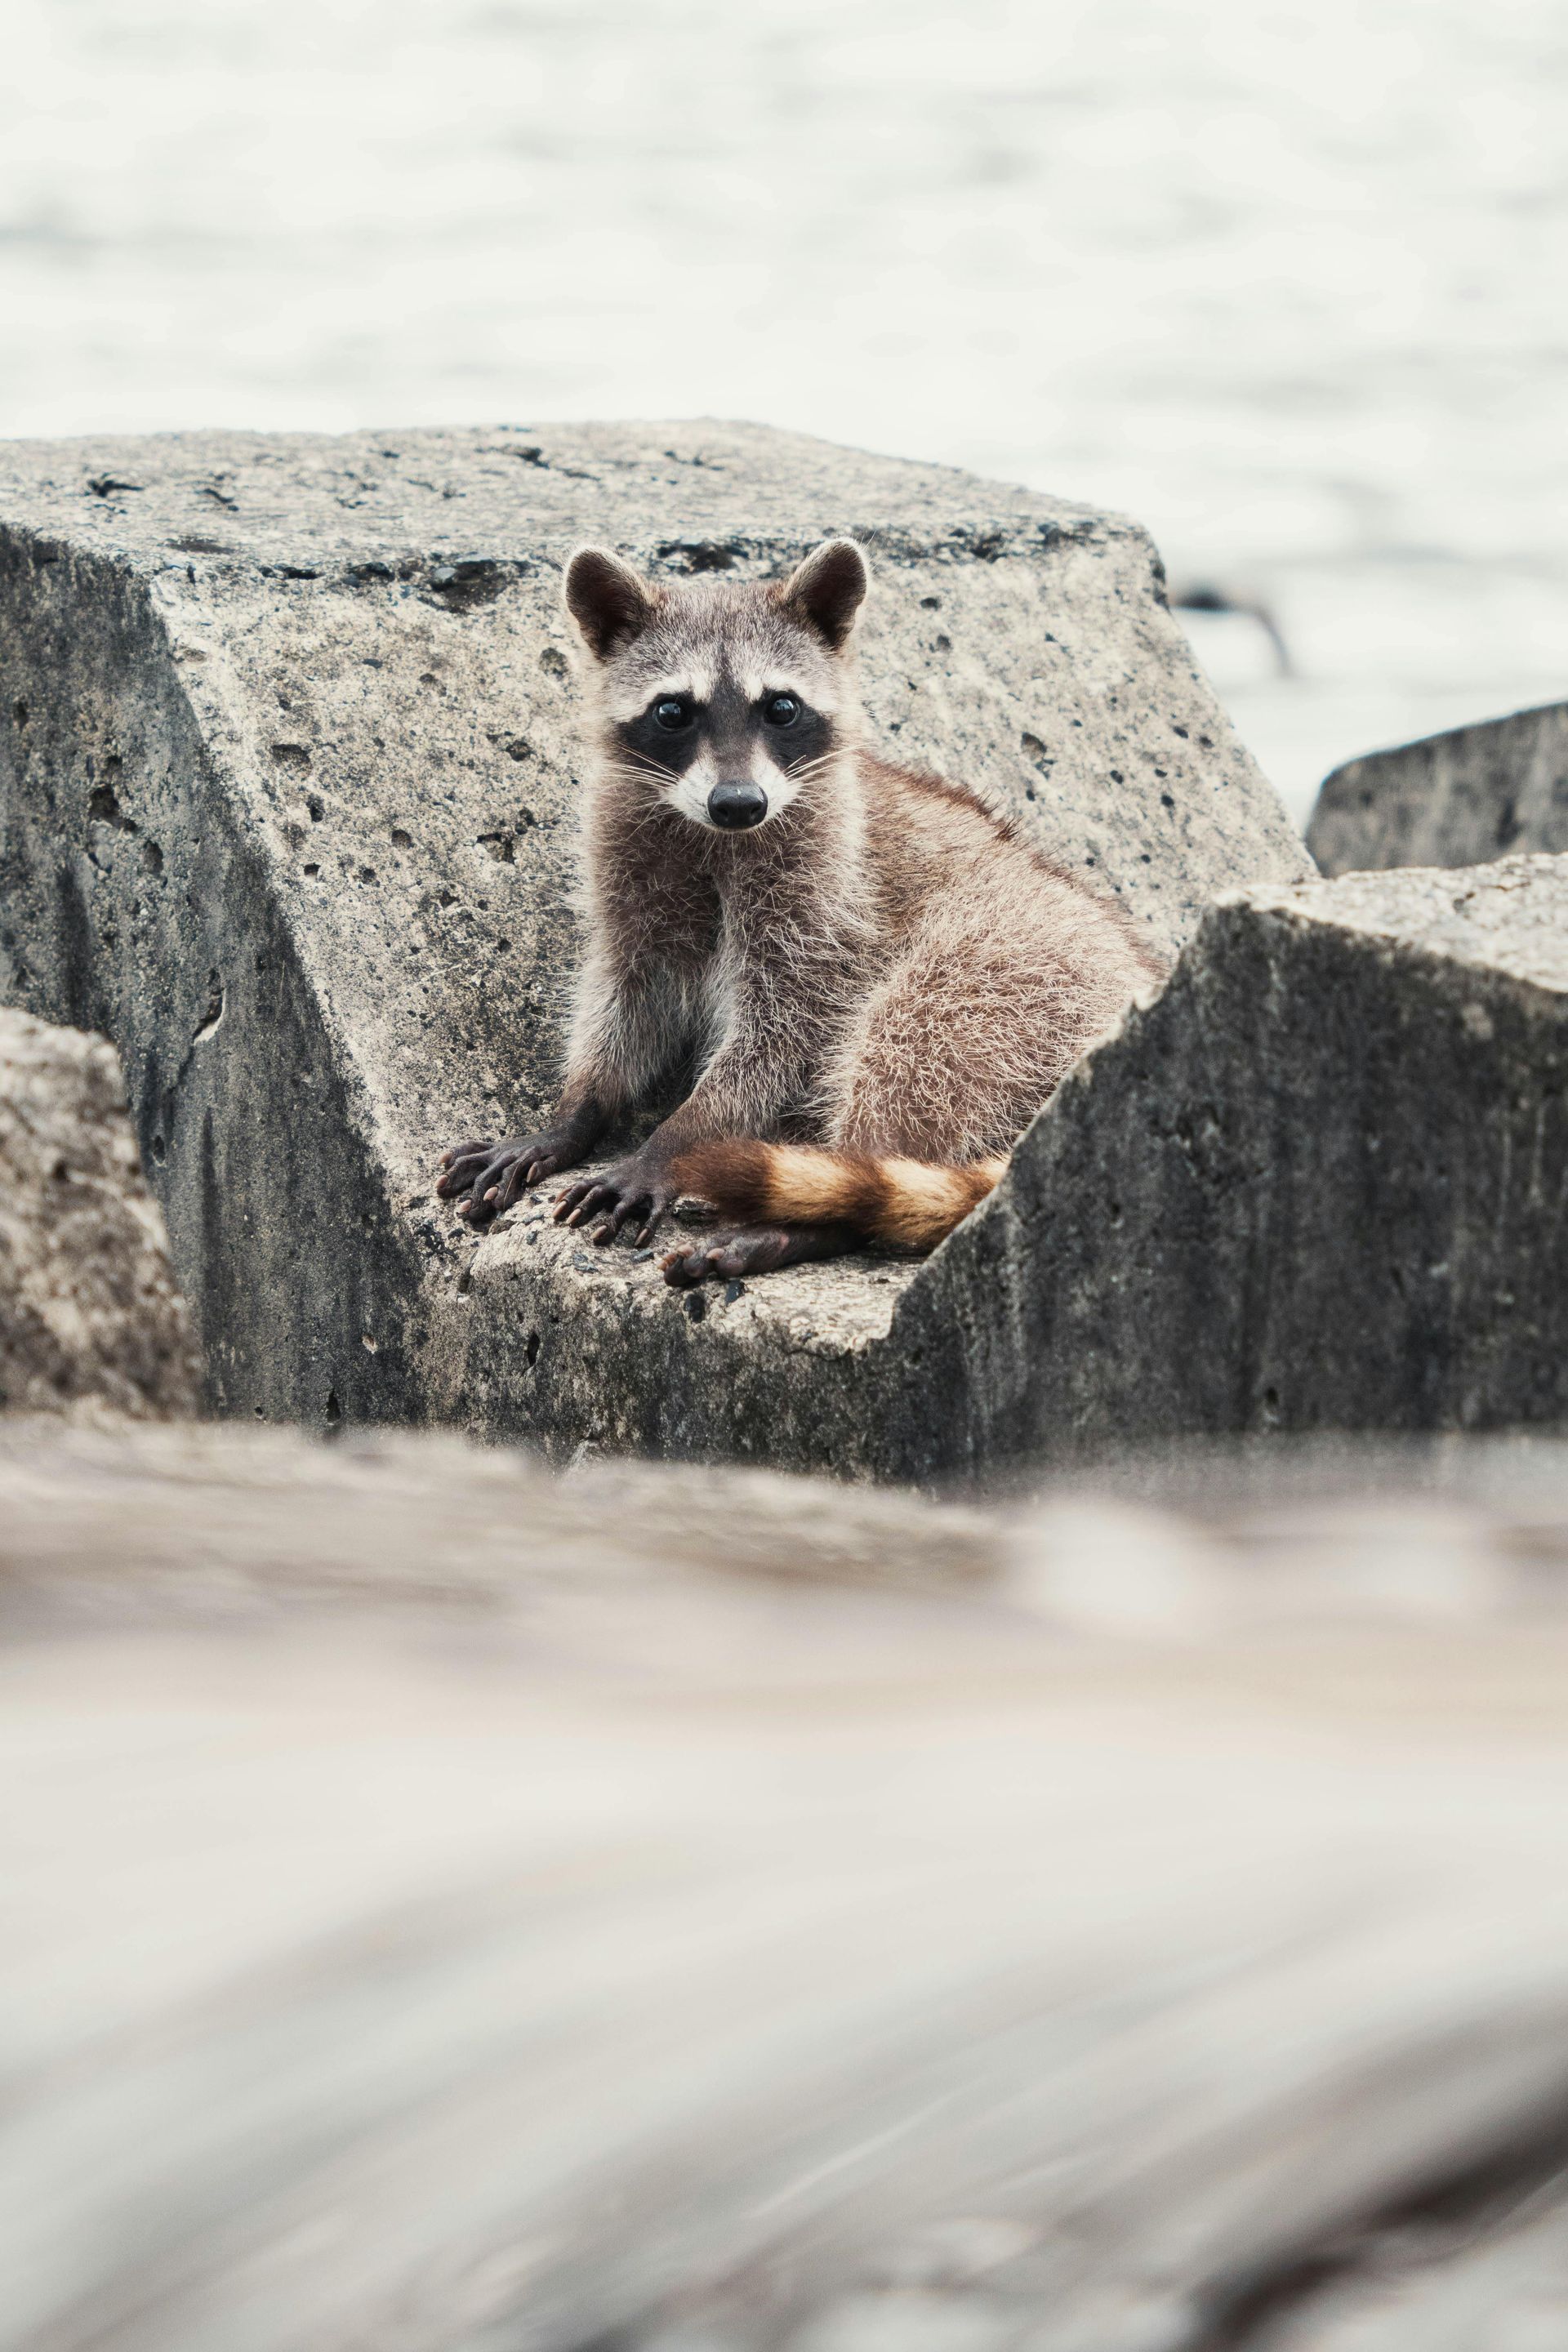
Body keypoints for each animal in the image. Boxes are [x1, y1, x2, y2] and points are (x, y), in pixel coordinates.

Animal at [437, 539, 1163, 1285]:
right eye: (673, 712)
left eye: (780, 708)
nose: (738, 803)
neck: (711, 835)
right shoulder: (628, 871)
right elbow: (627, 995)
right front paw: (577, 1110)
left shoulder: (827, 899)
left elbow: (783, 1032)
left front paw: (674, 1139)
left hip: (1022, 974)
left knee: (914, 1042)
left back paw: (819, 1213)